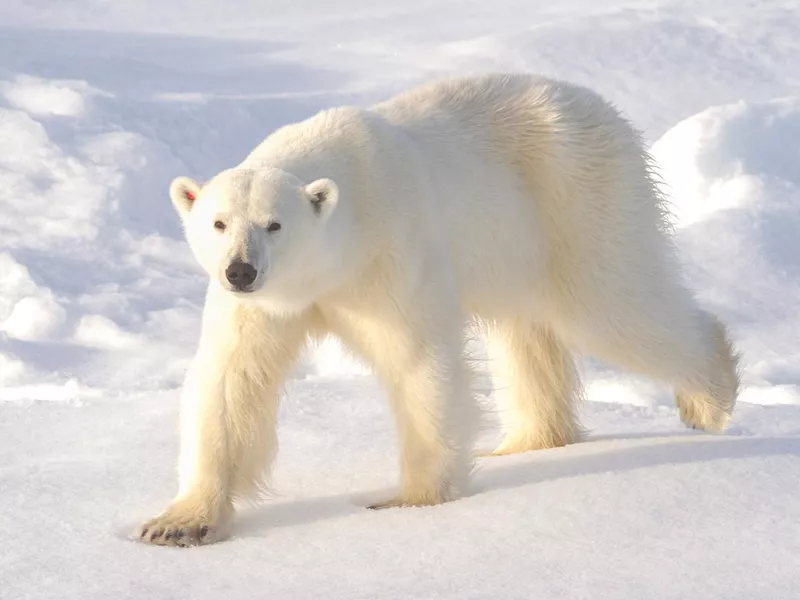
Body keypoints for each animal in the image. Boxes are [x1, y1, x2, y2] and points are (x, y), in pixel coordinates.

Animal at [131, 72, 736, 548]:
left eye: (274, 224)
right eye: (218, 222)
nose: (241, 270)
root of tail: (601, 107)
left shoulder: (391, 252)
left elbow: (419, 360)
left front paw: (410, 502)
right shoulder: (261, 307)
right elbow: (231, 382)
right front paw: (176, 525)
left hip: (576, 199)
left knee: (610, 303)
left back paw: (709, 397)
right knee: (528, 333)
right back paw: (527, 442)